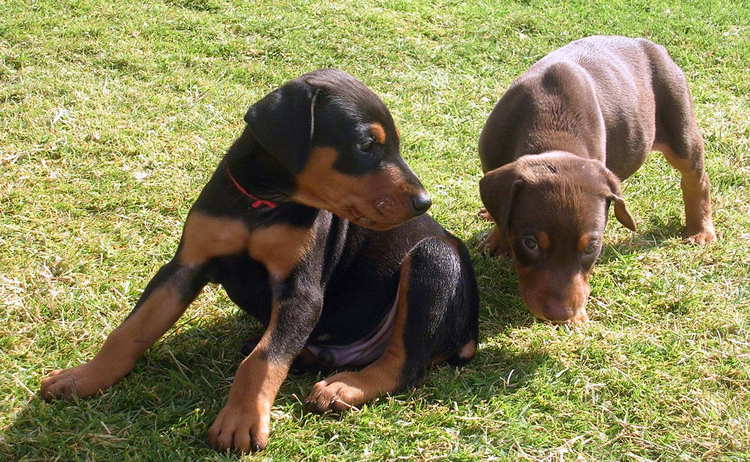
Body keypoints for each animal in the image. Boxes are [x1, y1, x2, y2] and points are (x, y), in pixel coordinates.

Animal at [41, 70, 478, 452]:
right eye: (366, 145)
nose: (424, 202)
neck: (264, 202)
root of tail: (469, 334)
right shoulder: (185, 266)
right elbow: (132, 329)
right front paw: (83, 378)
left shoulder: (301, 291)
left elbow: (263, 361)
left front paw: (242, 421)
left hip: (434, 258)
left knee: (406, 364)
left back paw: (345, 386)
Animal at [478, 36, 720, 324]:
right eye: (530, 243)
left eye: (592, 246)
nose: (561, 315)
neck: (552, 129)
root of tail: (644, 42)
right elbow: (502, 213)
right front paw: (498, 239)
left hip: (680, 128)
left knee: (696, 179)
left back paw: (700, 230)